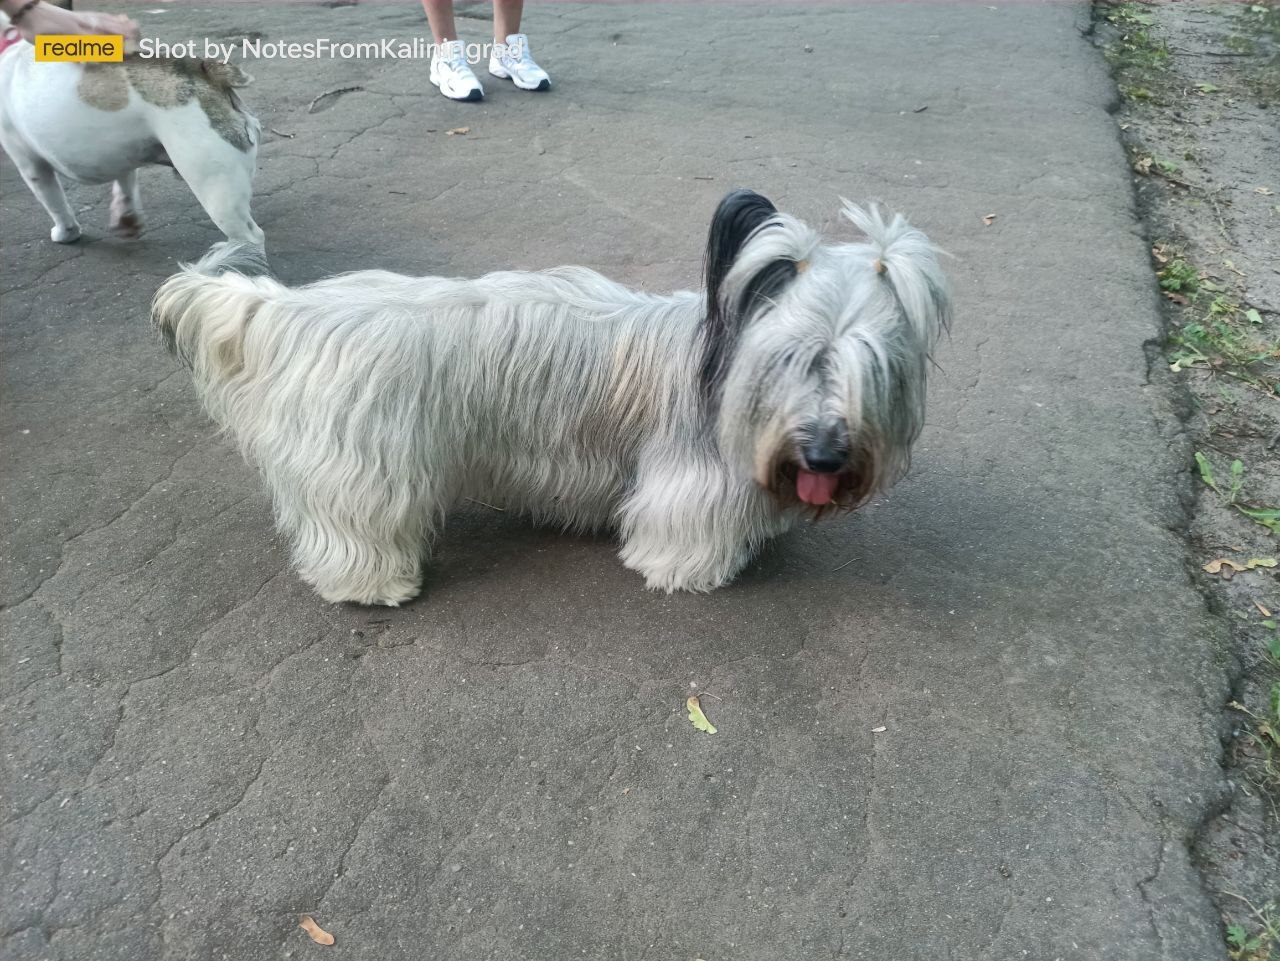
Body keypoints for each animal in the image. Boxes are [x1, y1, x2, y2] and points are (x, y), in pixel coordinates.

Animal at [0, 21, 259, 244]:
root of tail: (203, 71)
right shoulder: (122, 149)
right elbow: (125, 181)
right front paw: (127, 218)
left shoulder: (31, 165)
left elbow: (54, 201)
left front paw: (66, 232)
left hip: (215, 188)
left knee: (249, 237)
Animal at [152, 190, 952, 603]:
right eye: (794, 359)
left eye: (874, 369)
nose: (825, 451)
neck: (721, 363)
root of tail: (291, 309)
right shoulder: (686, 480)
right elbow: (677, 533)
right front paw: (689, 570)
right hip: (366, 459)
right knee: (355, 524)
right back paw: (373, 583)